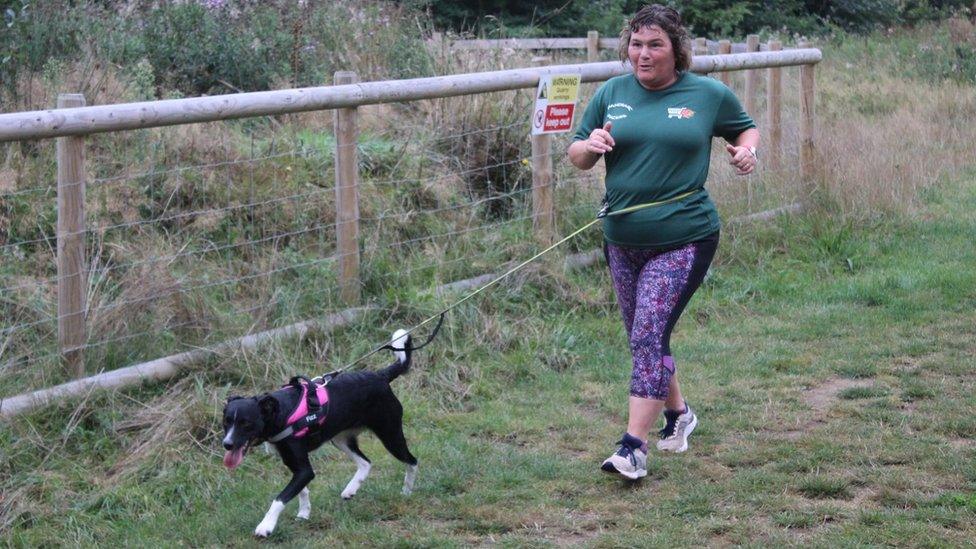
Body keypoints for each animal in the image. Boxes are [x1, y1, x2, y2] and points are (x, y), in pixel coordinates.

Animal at [221, 330, 416, 536]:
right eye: (226, 422)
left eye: (246, 424)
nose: (227, 444)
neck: (281, 413)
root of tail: (381, 375)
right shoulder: (294, 465)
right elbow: (301, 491)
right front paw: (304, 513)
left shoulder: (304, 470)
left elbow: (280, 498)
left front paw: (266, 525)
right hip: (341, 440)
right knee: (366, 462)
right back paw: (351, 489)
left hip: (390, 434)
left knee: (412, 461)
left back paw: (407, 491)